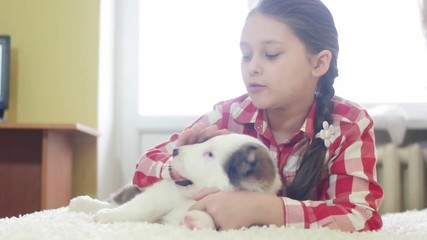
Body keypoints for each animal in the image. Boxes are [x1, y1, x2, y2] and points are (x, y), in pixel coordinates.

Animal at [70, 134, 282, 230]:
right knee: (117, 200)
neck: (188, 199)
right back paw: (82, 204)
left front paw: (197, 220)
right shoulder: (163, 192)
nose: (175, 151)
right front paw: (107, 217)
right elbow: (140, 208)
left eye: (210, 154)